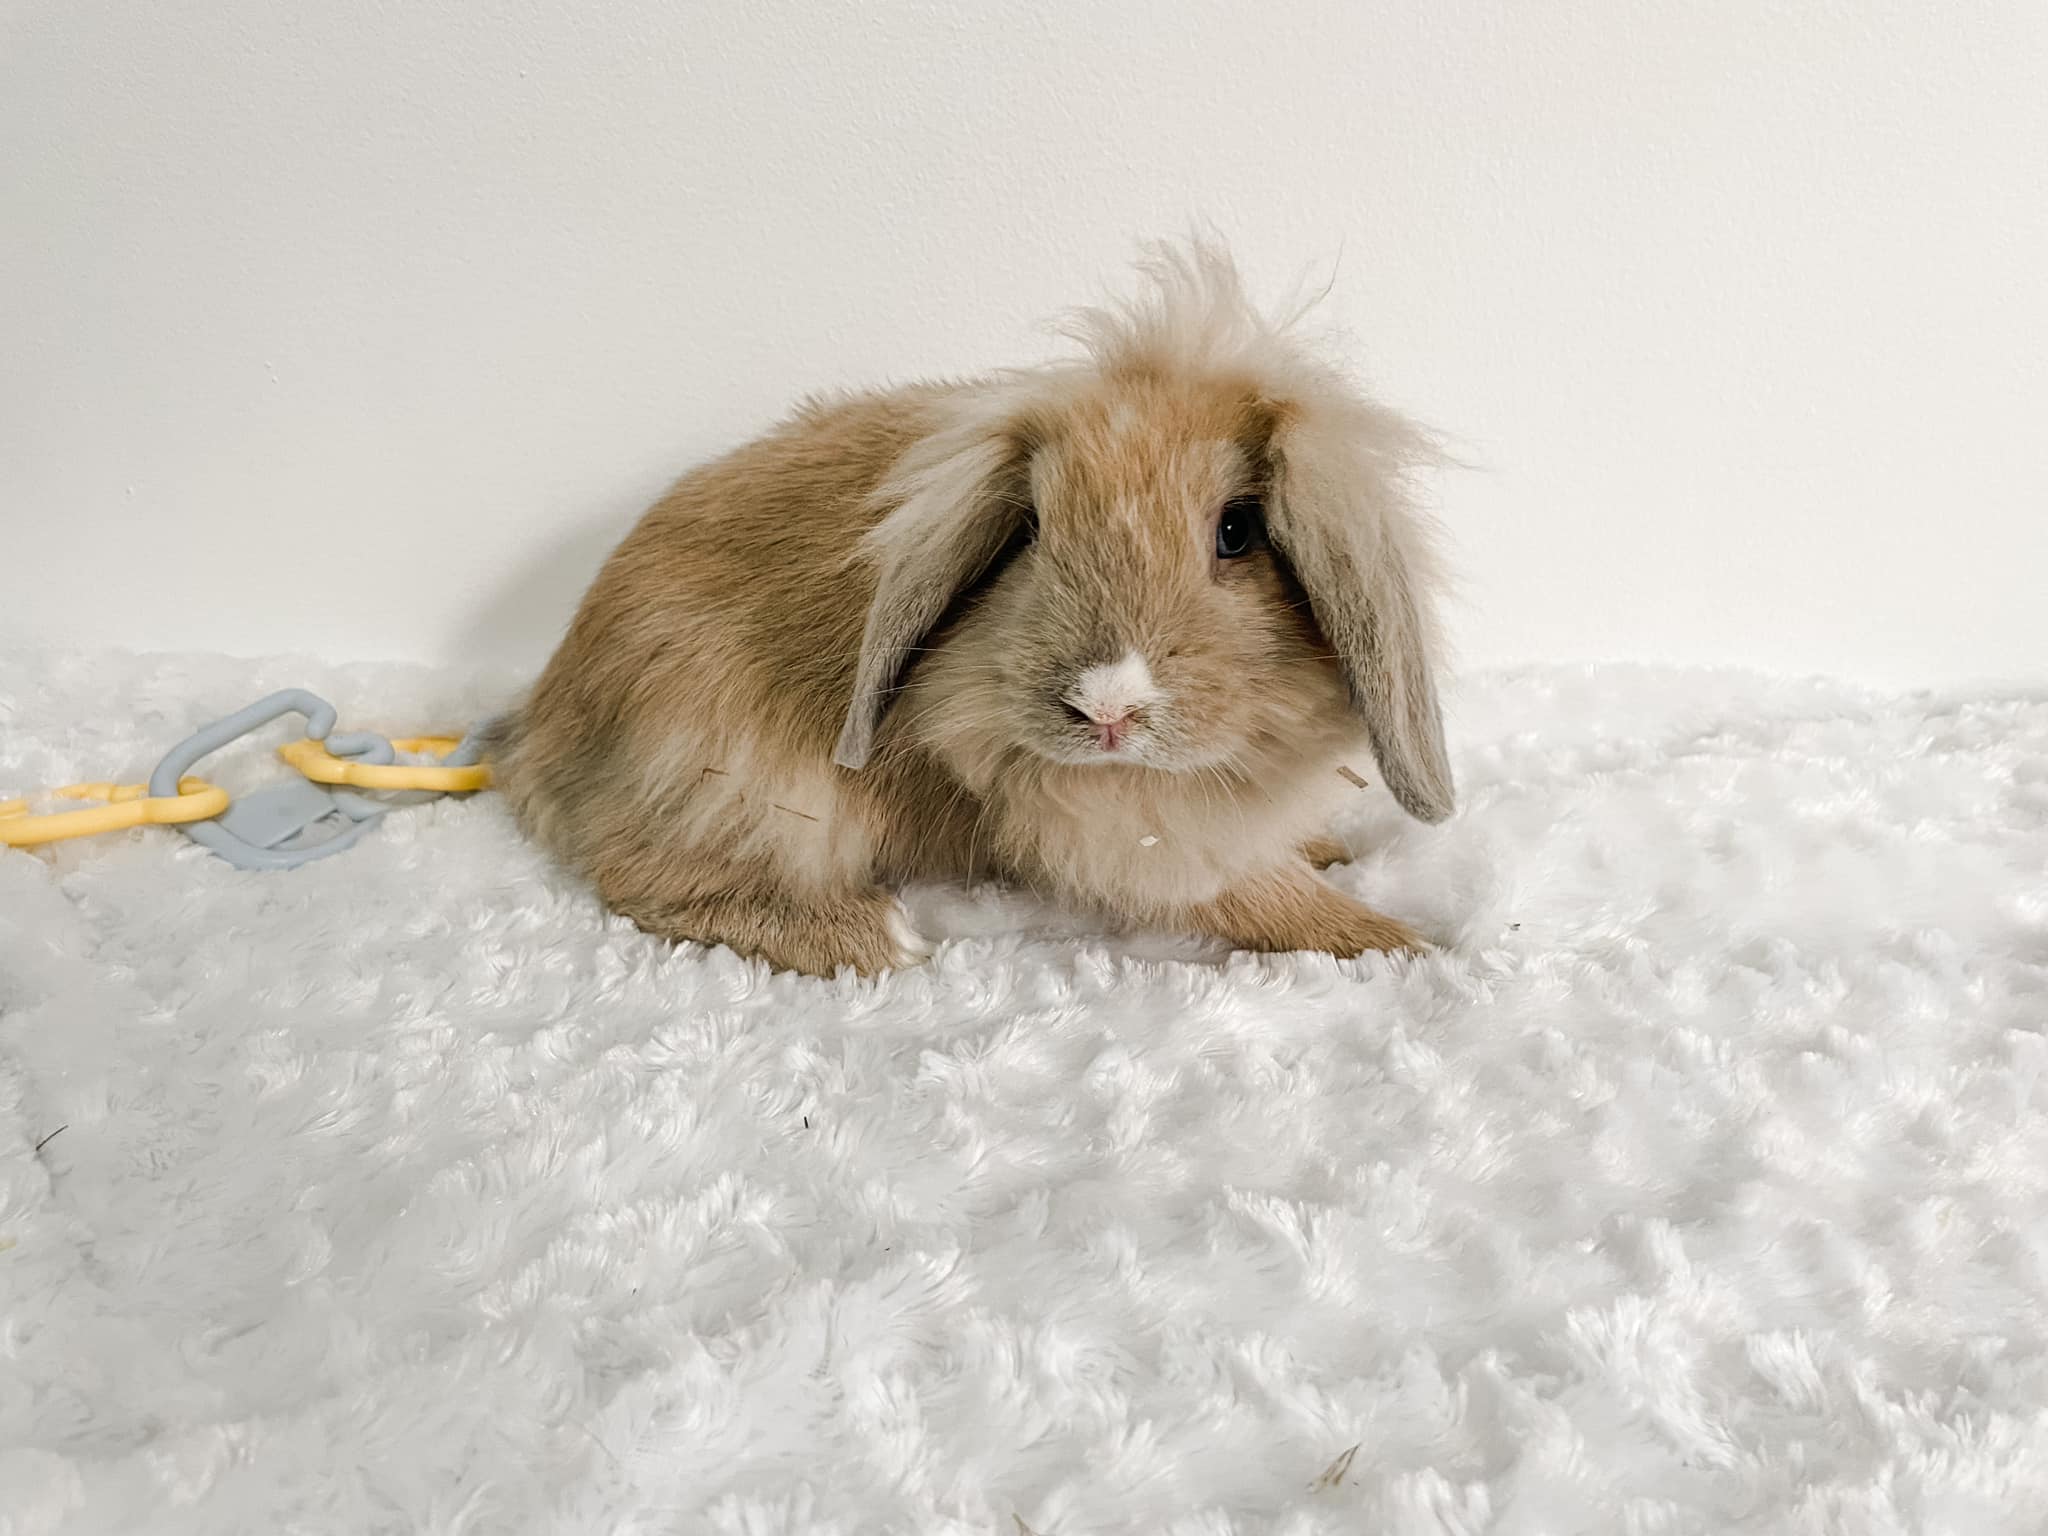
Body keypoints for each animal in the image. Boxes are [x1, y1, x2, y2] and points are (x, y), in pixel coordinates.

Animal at [488, 241, 1455, 977]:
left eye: (1237, 530)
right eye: (1030, 528)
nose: (1106, 707)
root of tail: (545, 733)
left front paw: (1332, 857)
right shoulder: (1139, 842)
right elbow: (1265, 898)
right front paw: (1410, 947)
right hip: (738, 783)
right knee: (638, 874)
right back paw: (876, 938)